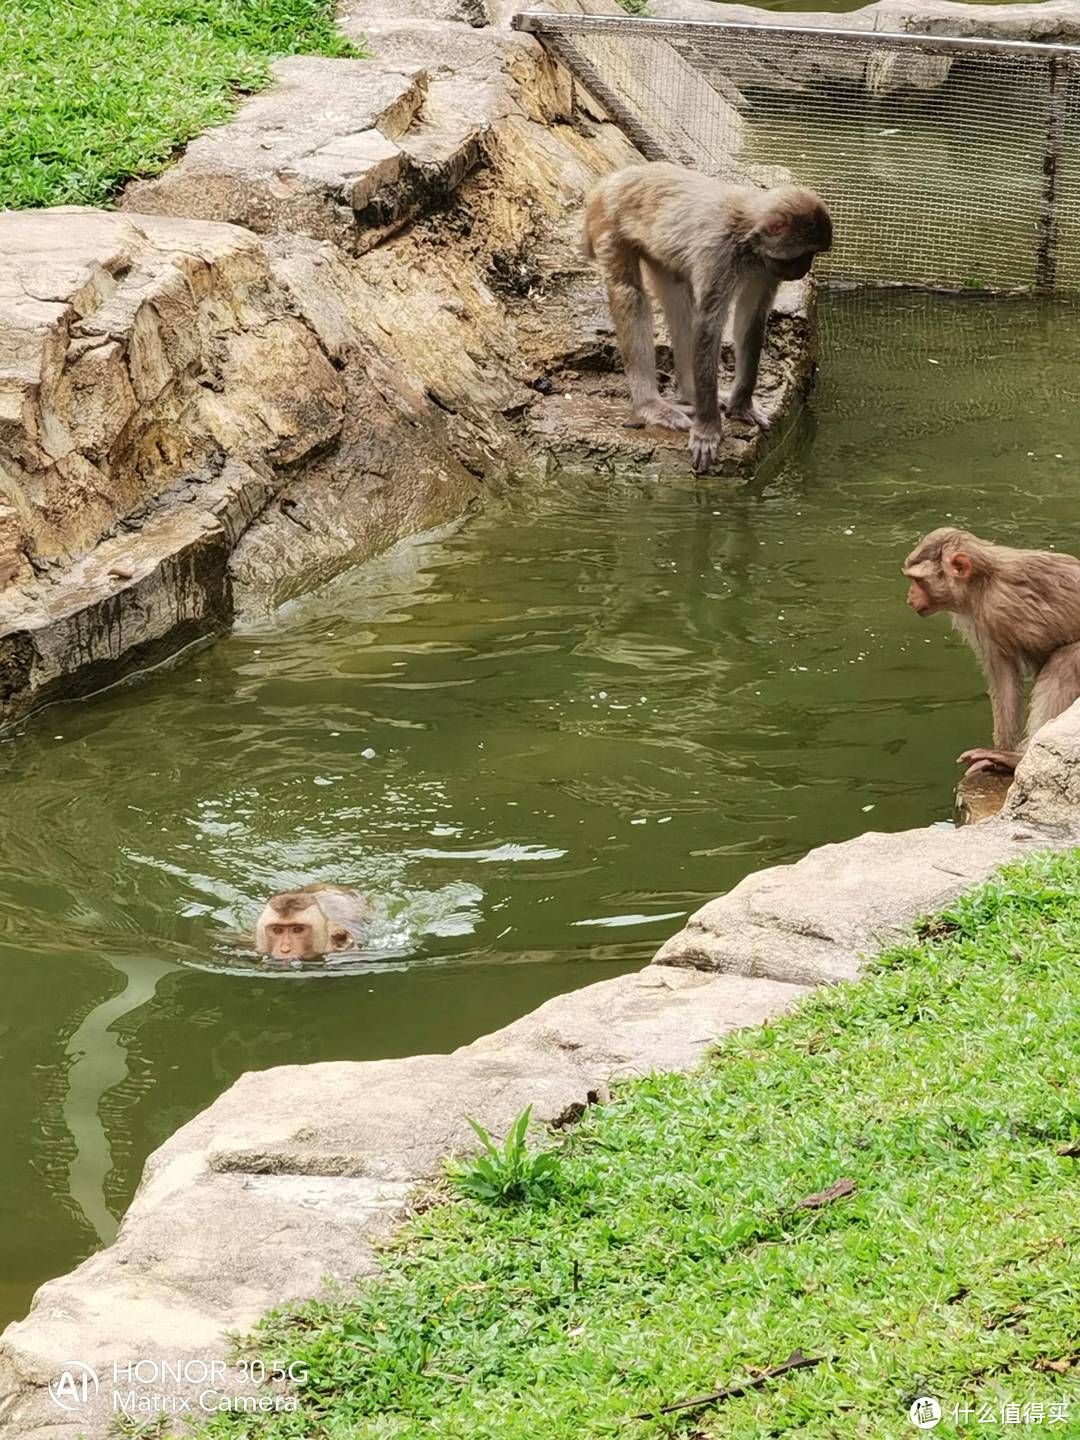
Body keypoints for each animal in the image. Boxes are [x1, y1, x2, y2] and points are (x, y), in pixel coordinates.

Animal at [587, 162, 835, 478]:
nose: (805, 269)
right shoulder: (720, 254)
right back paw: (651, 404)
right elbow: (707, 327)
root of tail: (615, 177)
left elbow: (751, 319)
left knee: (678, 298)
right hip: (610, 216)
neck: (745, 235)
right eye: (806, 254)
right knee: (630, 293)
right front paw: (707, 429)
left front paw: (741, 406)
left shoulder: (764, 265)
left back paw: (690, 393)